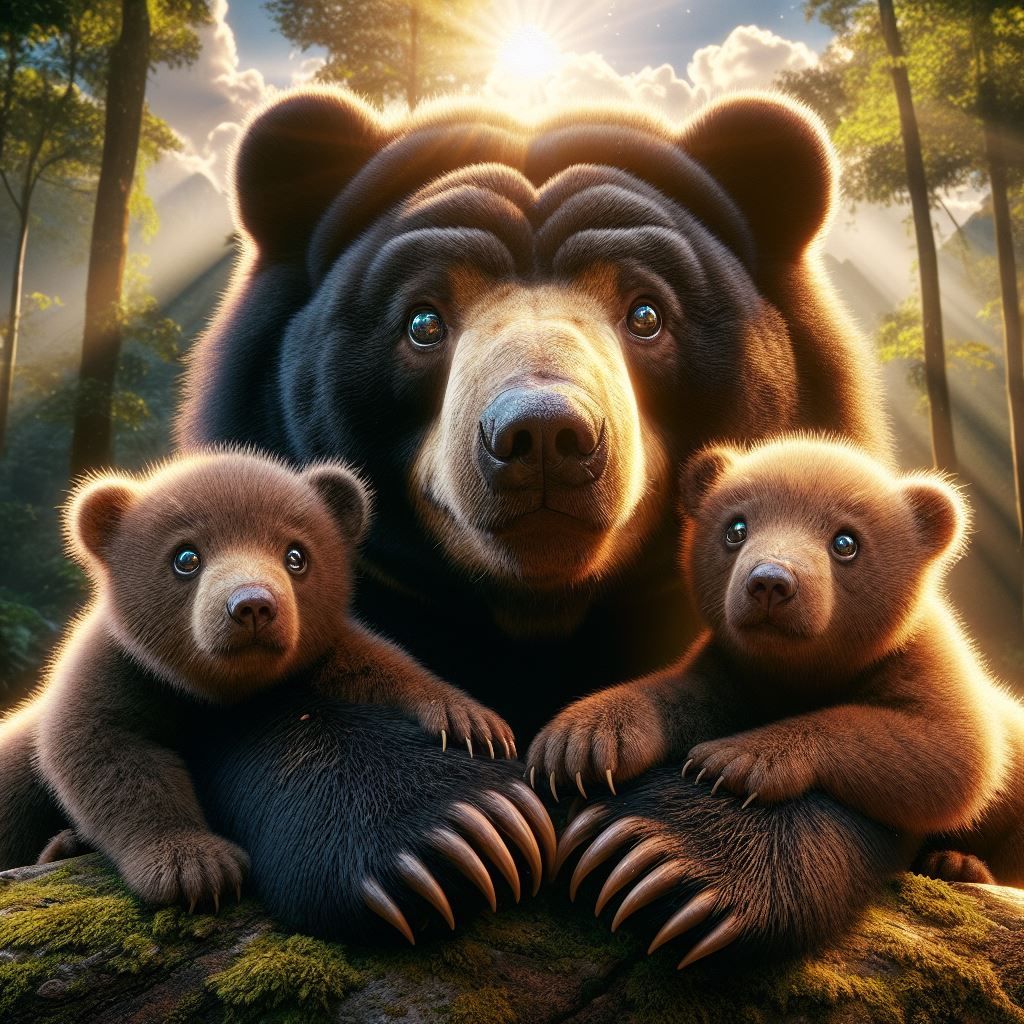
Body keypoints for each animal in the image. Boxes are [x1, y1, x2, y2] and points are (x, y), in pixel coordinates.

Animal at [0, 449, 552, 940]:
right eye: (186, 557)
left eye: (295, 555)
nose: (252, 605)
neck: (223, 690)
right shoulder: (118, 669)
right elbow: (105, 752)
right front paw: (195, 865)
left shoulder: (318, 655)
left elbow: (374, 666)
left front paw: (470, 722)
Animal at [149, 86, 909, 953]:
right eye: (423, 322)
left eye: (645, 314)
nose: (544, 436)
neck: (537, 612)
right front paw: (458, 835)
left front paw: (663, 861)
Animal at [538, 436, 1024, 965]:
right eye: (736, 528)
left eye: (846, 542)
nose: (769, 581)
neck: (800, 672)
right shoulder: (735, 667)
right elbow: (686, 694)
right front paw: (584, 739)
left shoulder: (925, 656)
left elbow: (952, 750)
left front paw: (735, 760)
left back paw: (957, 863)